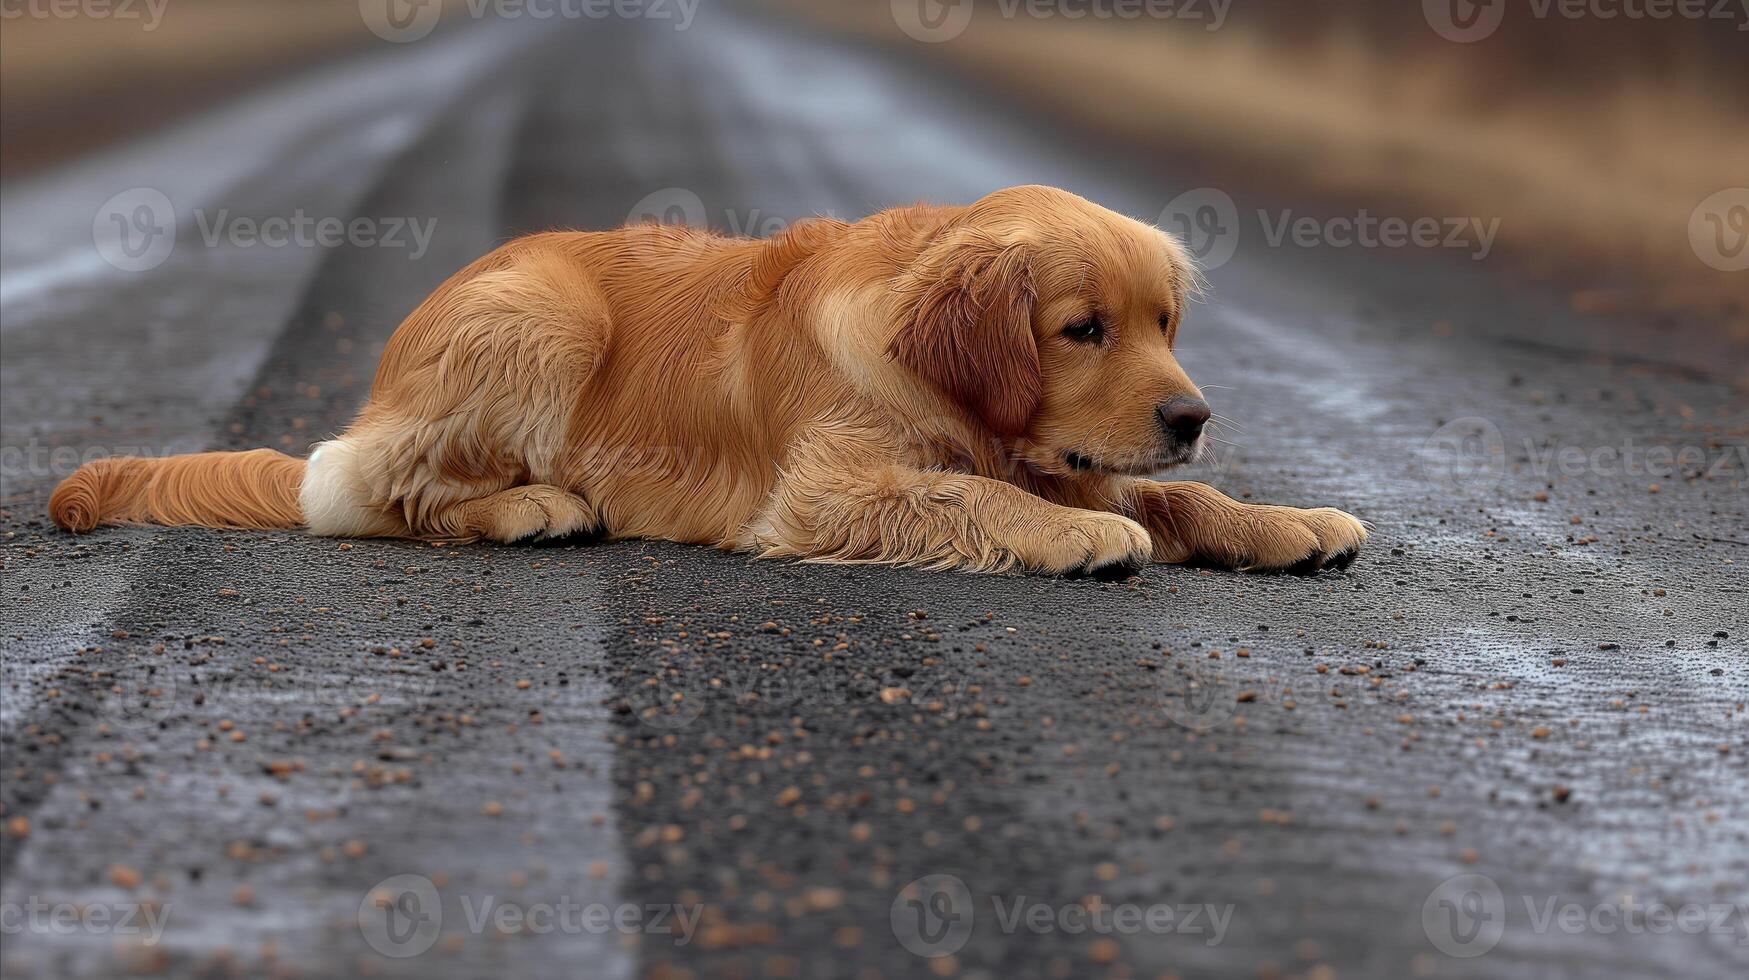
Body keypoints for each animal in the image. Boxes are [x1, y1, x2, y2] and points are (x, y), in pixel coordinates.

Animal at [44, 185, 1364, 574]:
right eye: (1082, 328)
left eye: (1165, 323)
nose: (1193, 414)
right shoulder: (825, 490)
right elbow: (976, 492)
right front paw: (1076, 535)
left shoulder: (1076, 452)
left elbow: (1170, 492)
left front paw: (1285, 518)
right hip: (541, 316)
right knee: (372, 496)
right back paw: (534, 505)